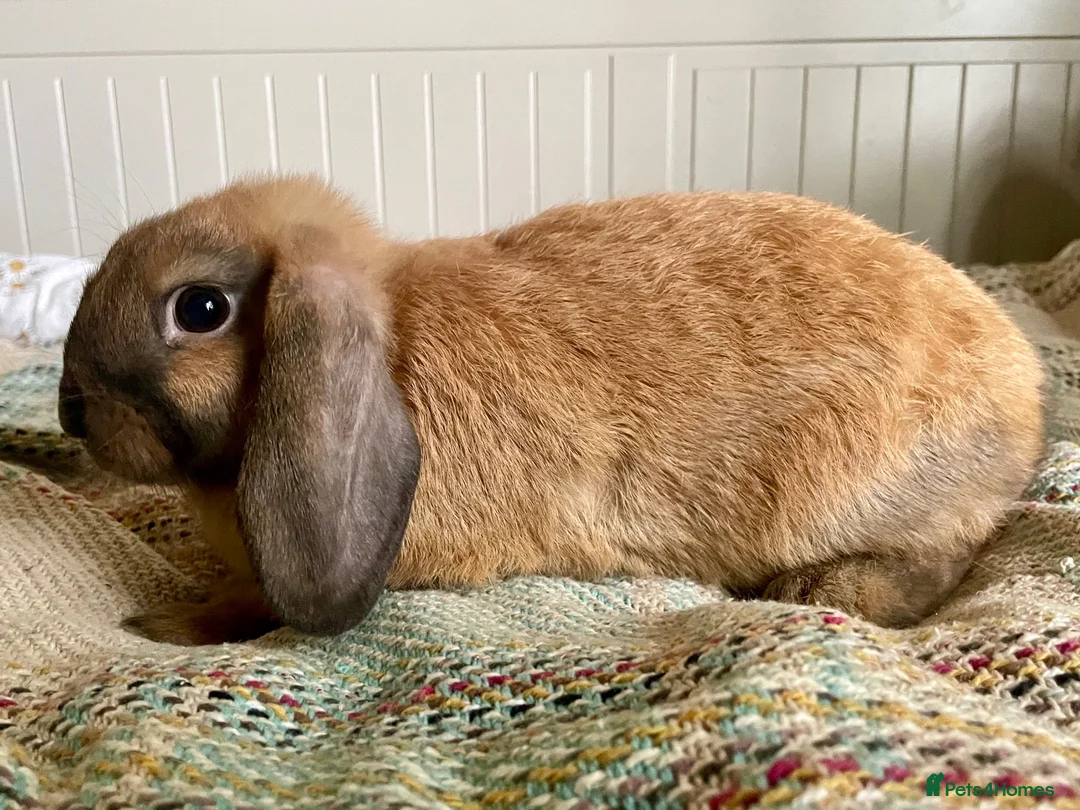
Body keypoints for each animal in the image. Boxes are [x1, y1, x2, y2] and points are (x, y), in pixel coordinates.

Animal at [57, 174, 1044, 646]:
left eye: (199, 309)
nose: (68, 412)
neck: (391, 342)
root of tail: (1025, 387)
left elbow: (255, 603)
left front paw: (163, 627)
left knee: (947, 552)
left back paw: (819, 592)